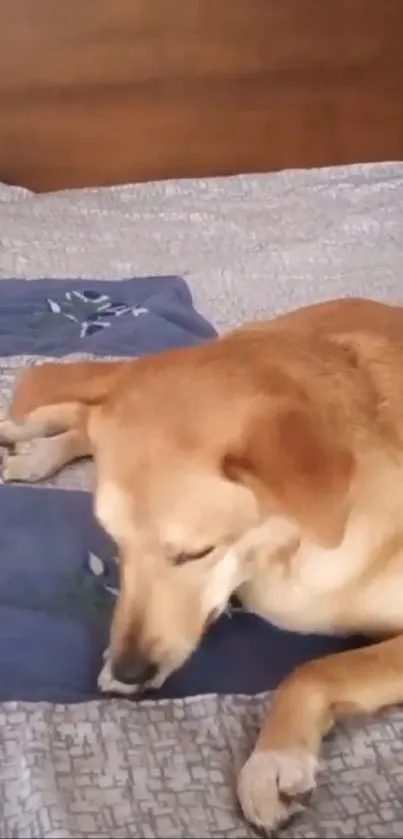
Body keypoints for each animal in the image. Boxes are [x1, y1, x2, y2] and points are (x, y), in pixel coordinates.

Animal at [0, 296, 403, 832]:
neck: (290, 549)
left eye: (195, 552)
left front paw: (273, 760)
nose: (129, 669)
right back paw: (28, 440)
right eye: (115, 543)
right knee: (85, 409)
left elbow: (315, 671)